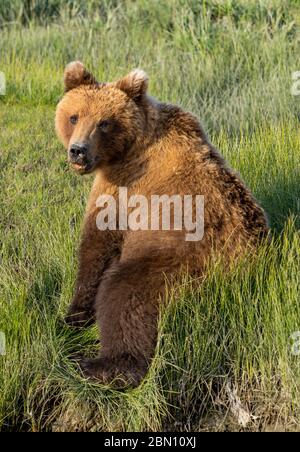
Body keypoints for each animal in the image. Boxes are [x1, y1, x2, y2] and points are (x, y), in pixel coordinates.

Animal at [55, 61, 268, 388]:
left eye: (104, 123)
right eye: (74, 116)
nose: (78, 150)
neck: (129, 147)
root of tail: (247, 272)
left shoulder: (124, 183)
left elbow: (97, 244)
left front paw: (73, 316)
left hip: (177, 265)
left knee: (123, 295)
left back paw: (100, 365)